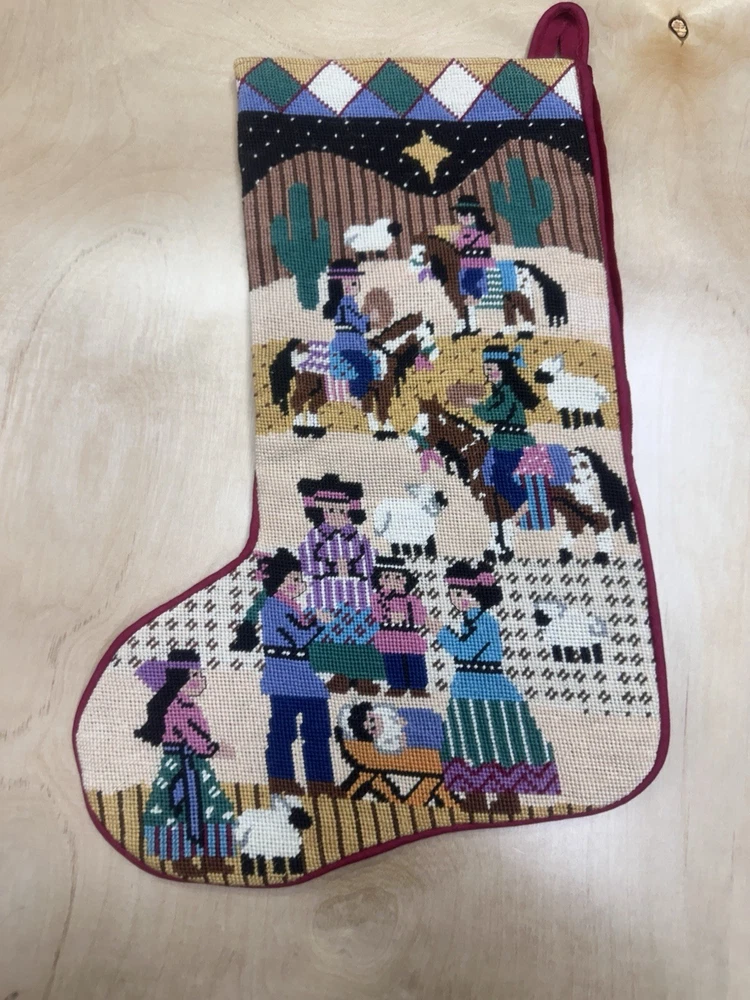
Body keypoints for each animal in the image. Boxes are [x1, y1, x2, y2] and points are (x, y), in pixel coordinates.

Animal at [269, 313, 438, 441]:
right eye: (425, 337)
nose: (435, 354)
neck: (384, 353)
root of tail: (298, 348)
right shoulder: (379, 388)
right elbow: (379, 409)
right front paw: (384, 430)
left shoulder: (376, 389)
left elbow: (377, 408)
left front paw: (381, 429)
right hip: (307, 383)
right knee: (297, 401)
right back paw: (300, 428)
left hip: (322, 389)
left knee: (312, 406)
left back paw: (314, 430)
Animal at [408, 235, 568, 338]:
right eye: (412, 250)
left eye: (422, 252)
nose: (411, 265)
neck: (454, 269)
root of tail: (522, 264)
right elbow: (469, 313)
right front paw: (471, 331)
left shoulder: (459, 299)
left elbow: (461, 314)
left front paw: (459, 332)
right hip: (507, 297)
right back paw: (504, 332)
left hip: (520, 294)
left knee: (528, 310)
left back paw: (525, 332)